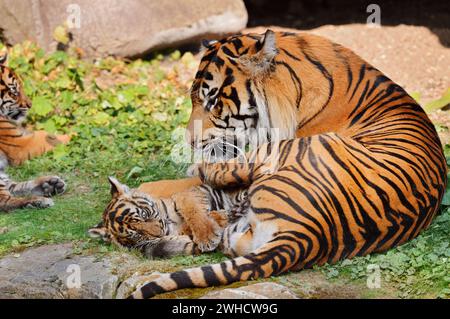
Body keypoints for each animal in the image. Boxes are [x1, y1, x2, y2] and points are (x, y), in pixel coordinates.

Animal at [0, 53, 70, 212]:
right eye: (14, 92)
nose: (30, 105)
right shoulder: (22, 145)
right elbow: (48, 136)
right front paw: (73, 136)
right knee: (5, 200)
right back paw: (39, 200)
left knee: (14, 186)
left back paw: (51, 184)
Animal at [129, 30, 446, 300]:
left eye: (214, 100)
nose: (190, 142)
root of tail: (308, 234)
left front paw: (153, 184)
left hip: (287, 149)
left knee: (219, 172)